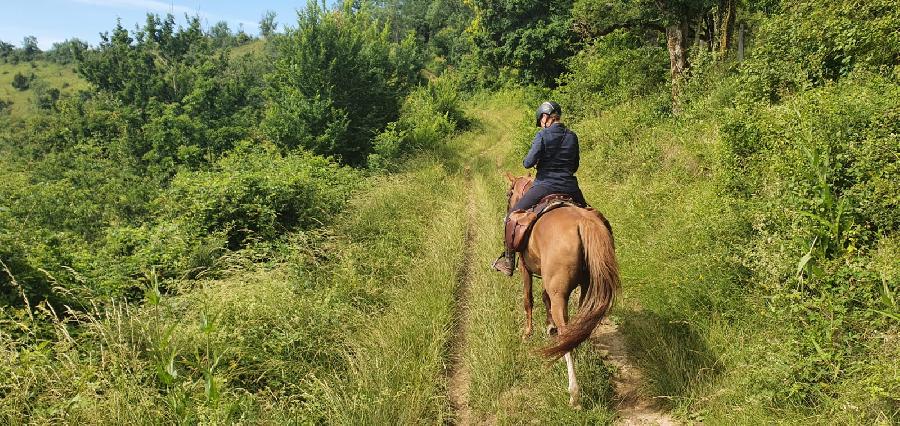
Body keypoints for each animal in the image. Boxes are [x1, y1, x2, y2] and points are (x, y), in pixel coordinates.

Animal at [502, 172, 624, 406]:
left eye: (509, 193)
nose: (507, 207)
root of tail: (584, 223)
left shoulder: (524, 268)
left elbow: (528, 299)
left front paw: (527, 333)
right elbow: (543, 298)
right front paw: (549, 327)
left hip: (561, 294)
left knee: (567, 331)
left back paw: (574, 394)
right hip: (587, 288)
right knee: (580, 323)